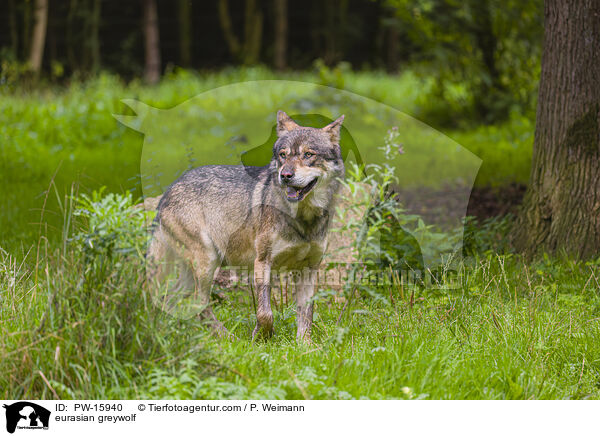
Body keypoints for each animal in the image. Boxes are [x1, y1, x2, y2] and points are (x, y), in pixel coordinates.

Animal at [146, 110, 344, 342]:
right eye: (283, 155)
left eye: (308, 155)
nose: (285, 175)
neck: (303, 220)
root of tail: (167, 192)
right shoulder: (262, 262)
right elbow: (265, 313)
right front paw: (260, 338)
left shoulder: (309, 269)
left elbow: (306, 316)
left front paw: (306, 346)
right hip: (207, 262)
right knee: (198, 302)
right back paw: (226, 338)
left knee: (172, 299)